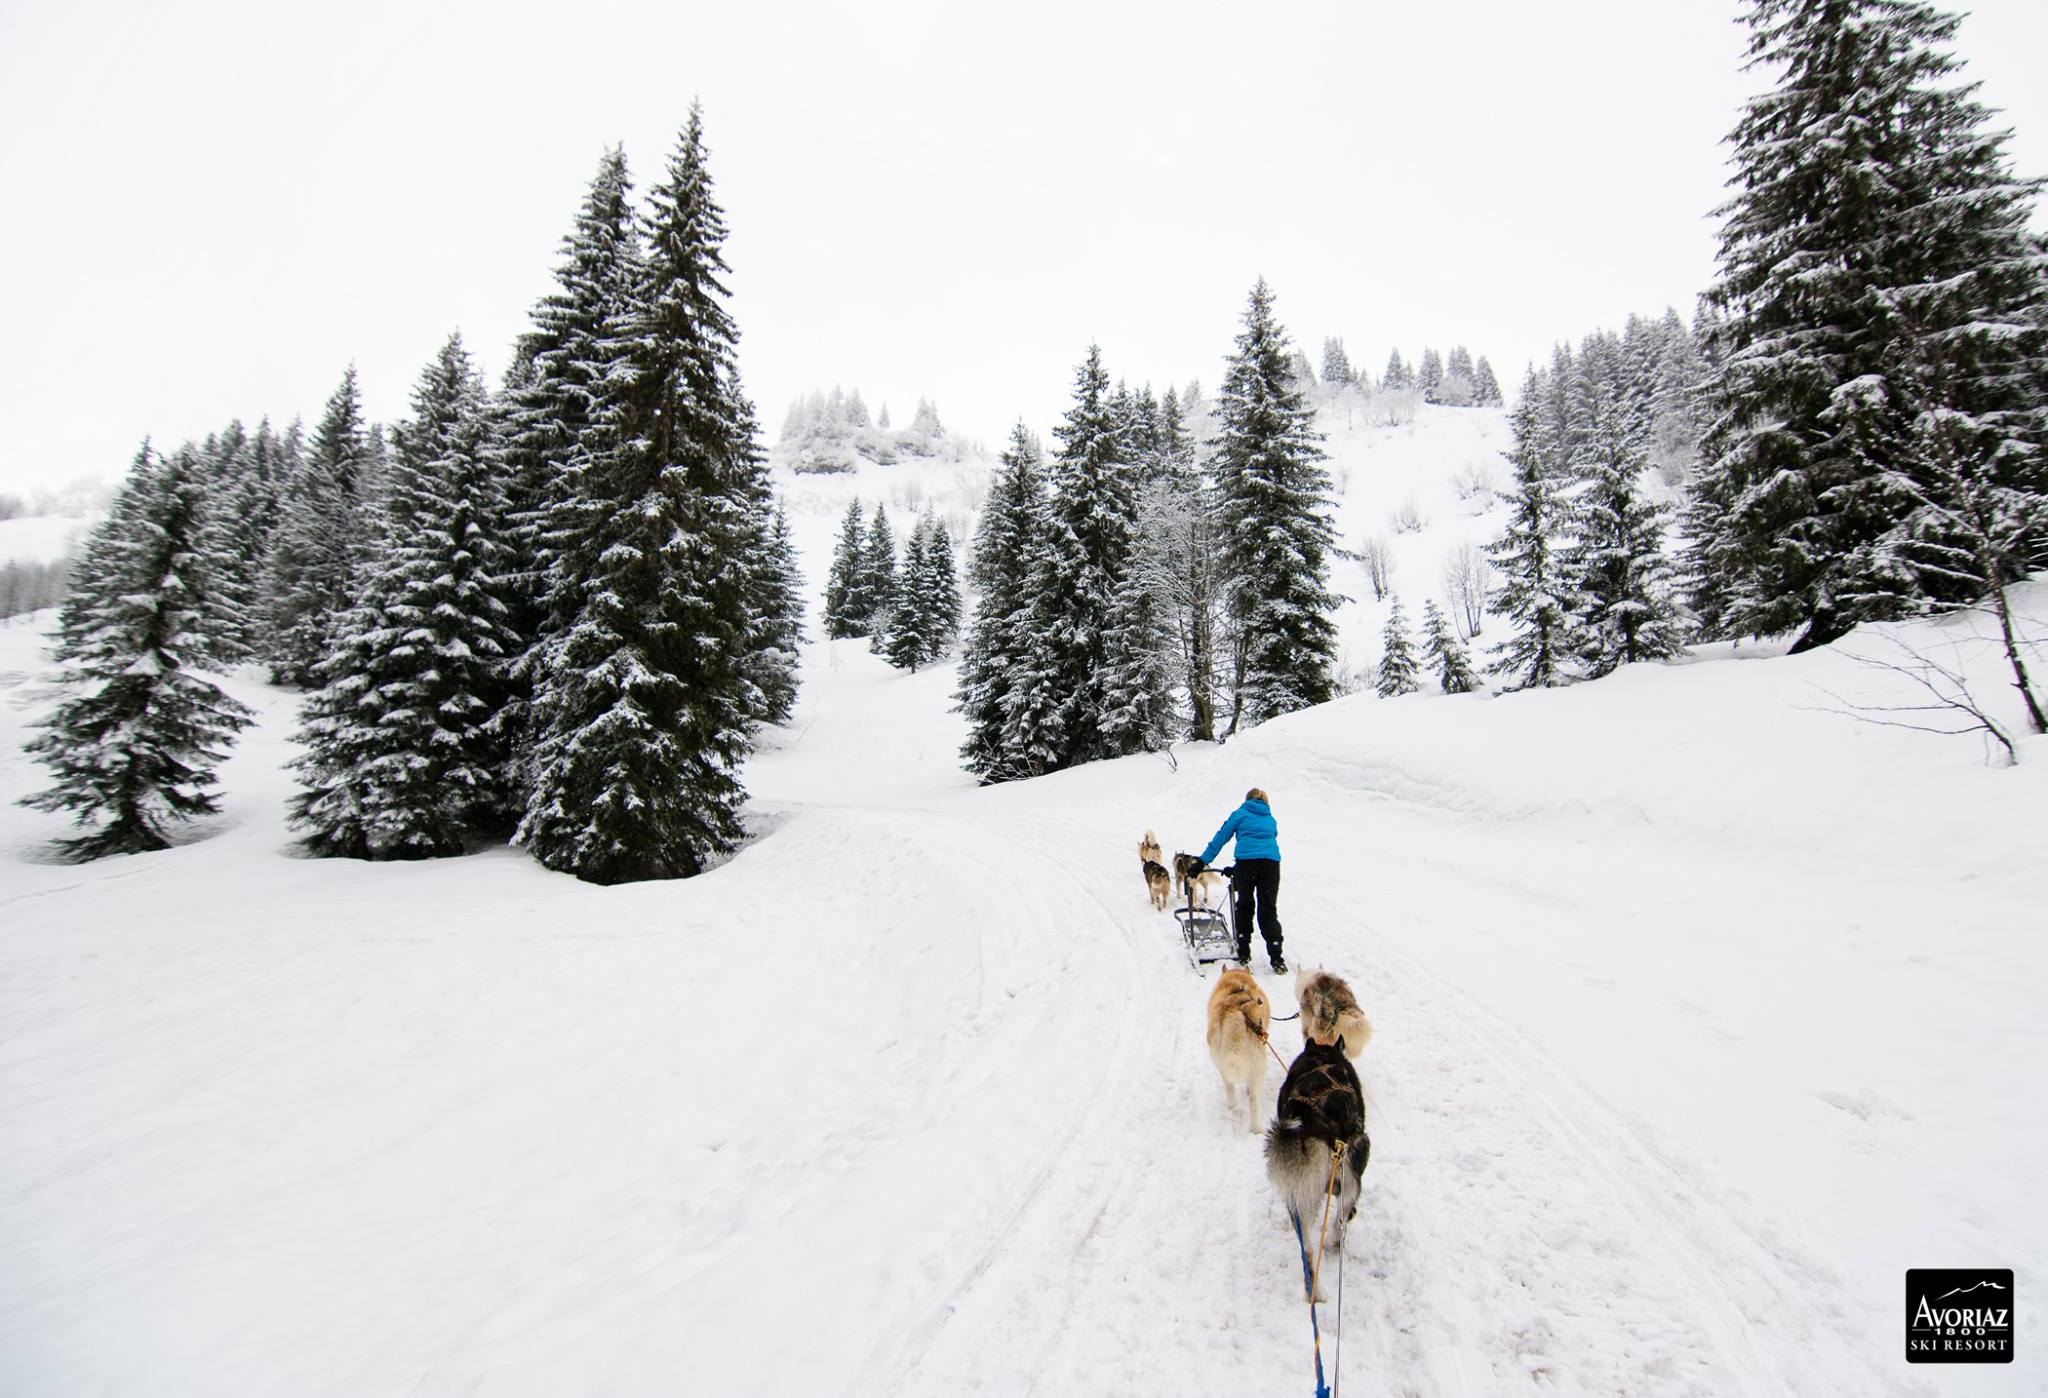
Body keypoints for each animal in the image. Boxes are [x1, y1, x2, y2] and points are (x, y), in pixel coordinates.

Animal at [1196, 974, 1261, 1138]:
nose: (1260, 1001)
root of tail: (1234, 1013)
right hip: (1258, 1067)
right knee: (1254, 1099)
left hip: (1221, 1062)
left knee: (1229, 1086)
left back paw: (1234, 1106)